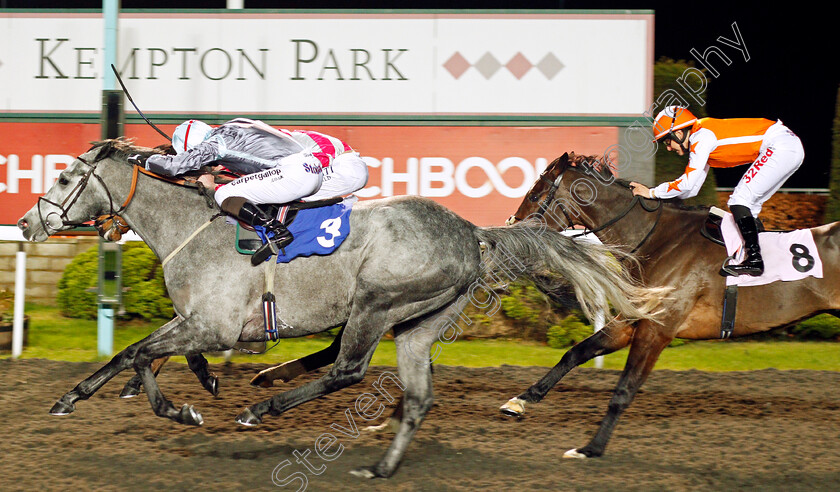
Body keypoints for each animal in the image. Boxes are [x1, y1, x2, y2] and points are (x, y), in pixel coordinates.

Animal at [16, 140, 668, 478]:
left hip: (377, 302)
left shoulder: (214, 325)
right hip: (417, 325)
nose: (26, 222)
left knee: (347, 370)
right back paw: (380, 468)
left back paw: (262, 406)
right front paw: (147, 404)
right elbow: (137, 356)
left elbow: (137, 353)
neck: (189, 228)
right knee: (417, 397)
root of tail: (471, 234)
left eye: (68, 176)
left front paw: (159, 405)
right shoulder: (196, 322)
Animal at [502, 152, 836, 460]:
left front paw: (591, 448)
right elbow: (575, 352)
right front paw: (519, 401)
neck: (656, 239)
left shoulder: (657, 329)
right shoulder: (631, 320)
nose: (511, 229)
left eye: (534, 195)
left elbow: (624, 390)